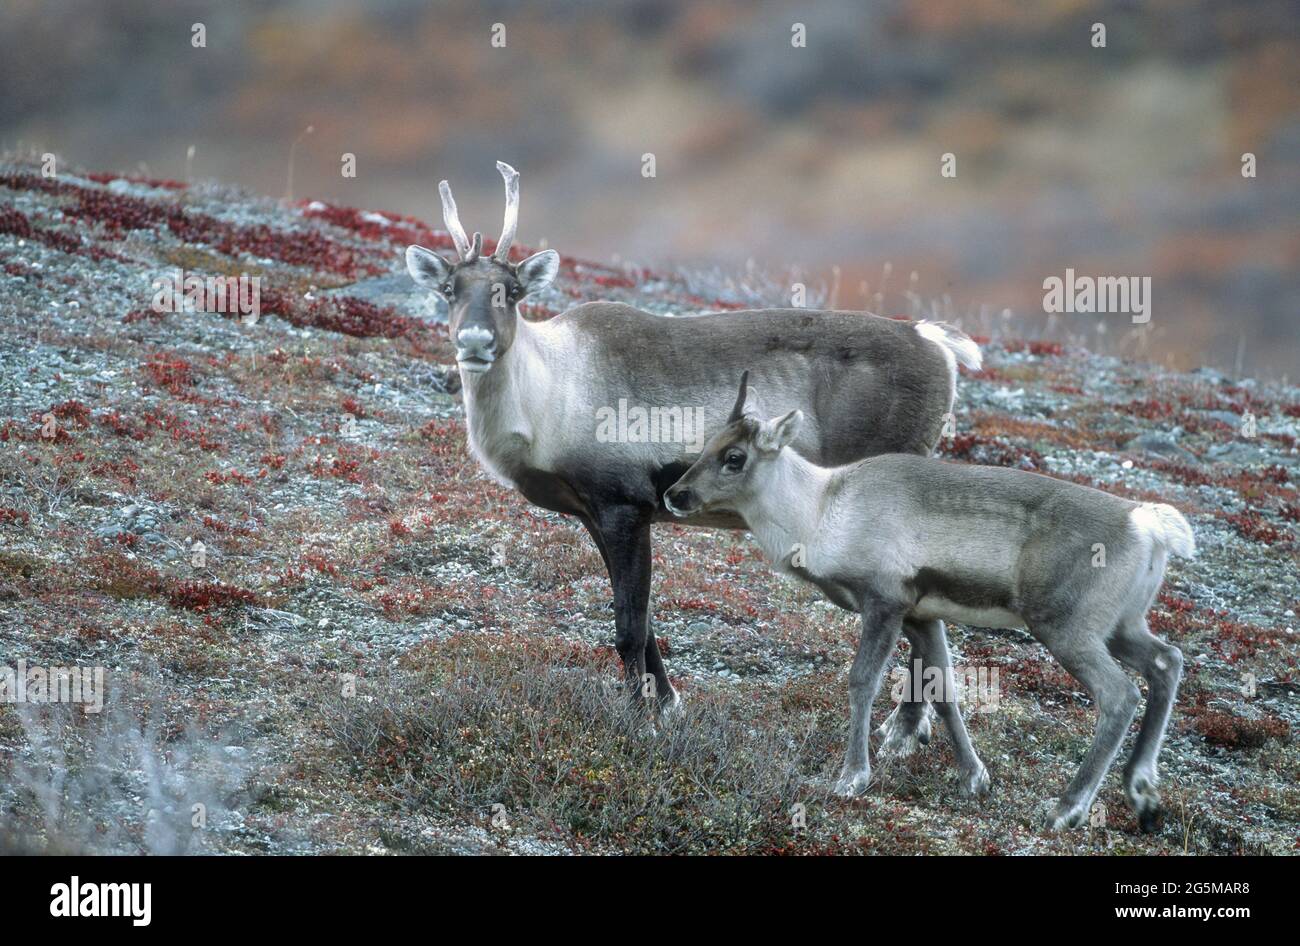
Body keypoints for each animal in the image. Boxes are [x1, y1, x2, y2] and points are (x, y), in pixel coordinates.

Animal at [676, 374, 1190, 831]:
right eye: (707, 443)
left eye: (735, 457)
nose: (675, 493)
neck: (821, 511)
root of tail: (1149, 525)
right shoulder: (922, 614)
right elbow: (943, 688)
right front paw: (974, 776)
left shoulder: (884, 601)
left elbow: (863, 682)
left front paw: (852, 776)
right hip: (1121, 626)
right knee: (1167, 660)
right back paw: (1142, 791)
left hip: (1066, 628)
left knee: (1120, 695)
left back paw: (1068, 809)